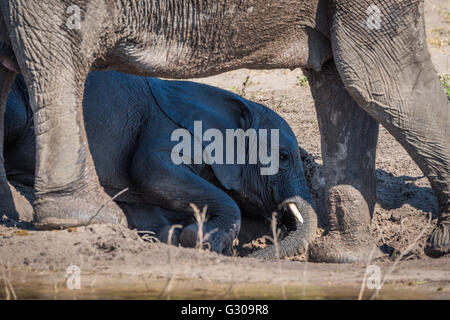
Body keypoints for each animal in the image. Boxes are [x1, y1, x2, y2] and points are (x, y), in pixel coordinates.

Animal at [5, 71, 318, 258]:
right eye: (283, 158)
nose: (249, 255)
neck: (238, 103)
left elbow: (141, 201)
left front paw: (173, 235)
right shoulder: (166, 128)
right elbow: (152, 171)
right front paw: (202, 241)